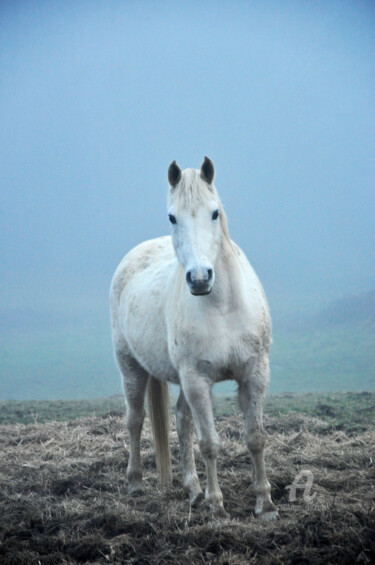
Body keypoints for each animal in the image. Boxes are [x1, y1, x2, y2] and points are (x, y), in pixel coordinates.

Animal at [110, 156, 278, 516]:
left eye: (214, 213)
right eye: (172, 217)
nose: (200, 278)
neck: (223, 307)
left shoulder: (255, 374)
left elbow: (255, 438)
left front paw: (265, 503)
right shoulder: (197, 380)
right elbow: (210, 443)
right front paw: (217, 505)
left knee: (182, 419)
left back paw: (193, 488)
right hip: (131, 367)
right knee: (135, 419)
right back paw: (136, 482)